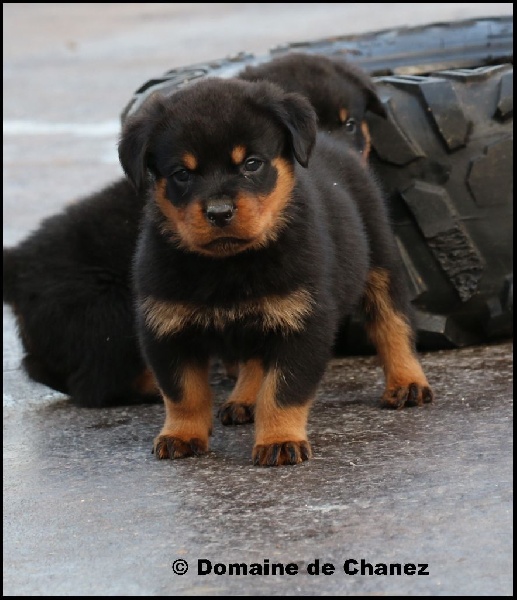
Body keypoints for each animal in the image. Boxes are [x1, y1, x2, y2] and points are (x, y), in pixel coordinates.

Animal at [118, 76, 434, 467]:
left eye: (252, 163)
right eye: (181, 174)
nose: (219, 212)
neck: (228, 265)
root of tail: (331, 140)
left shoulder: (303, 323)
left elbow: (283, 391)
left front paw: (279, 440)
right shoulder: (165, 327)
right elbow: (183, 393)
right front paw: (182, 434)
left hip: (380, 262)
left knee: (393, 323)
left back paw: (407, 382)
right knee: (255, 360)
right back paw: (244, 398)